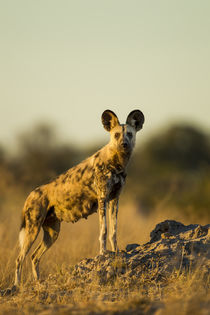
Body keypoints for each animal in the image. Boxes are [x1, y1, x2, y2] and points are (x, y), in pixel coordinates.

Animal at [13, 110, 144, 288]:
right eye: (116, 135)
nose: (124, 144)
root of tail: (31, 194)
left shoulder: (114, 200)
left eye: (129, 134)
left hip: (52, 233)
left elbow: (113, 231)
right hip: (32, 230)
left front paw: (116, 251)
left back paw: (38, 282)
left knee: (34, 257)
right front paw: (103, 253)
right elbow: (104, 230)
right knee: (19, 258)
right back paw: (16, 286)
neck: (117, 163)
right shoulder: (102, 198)